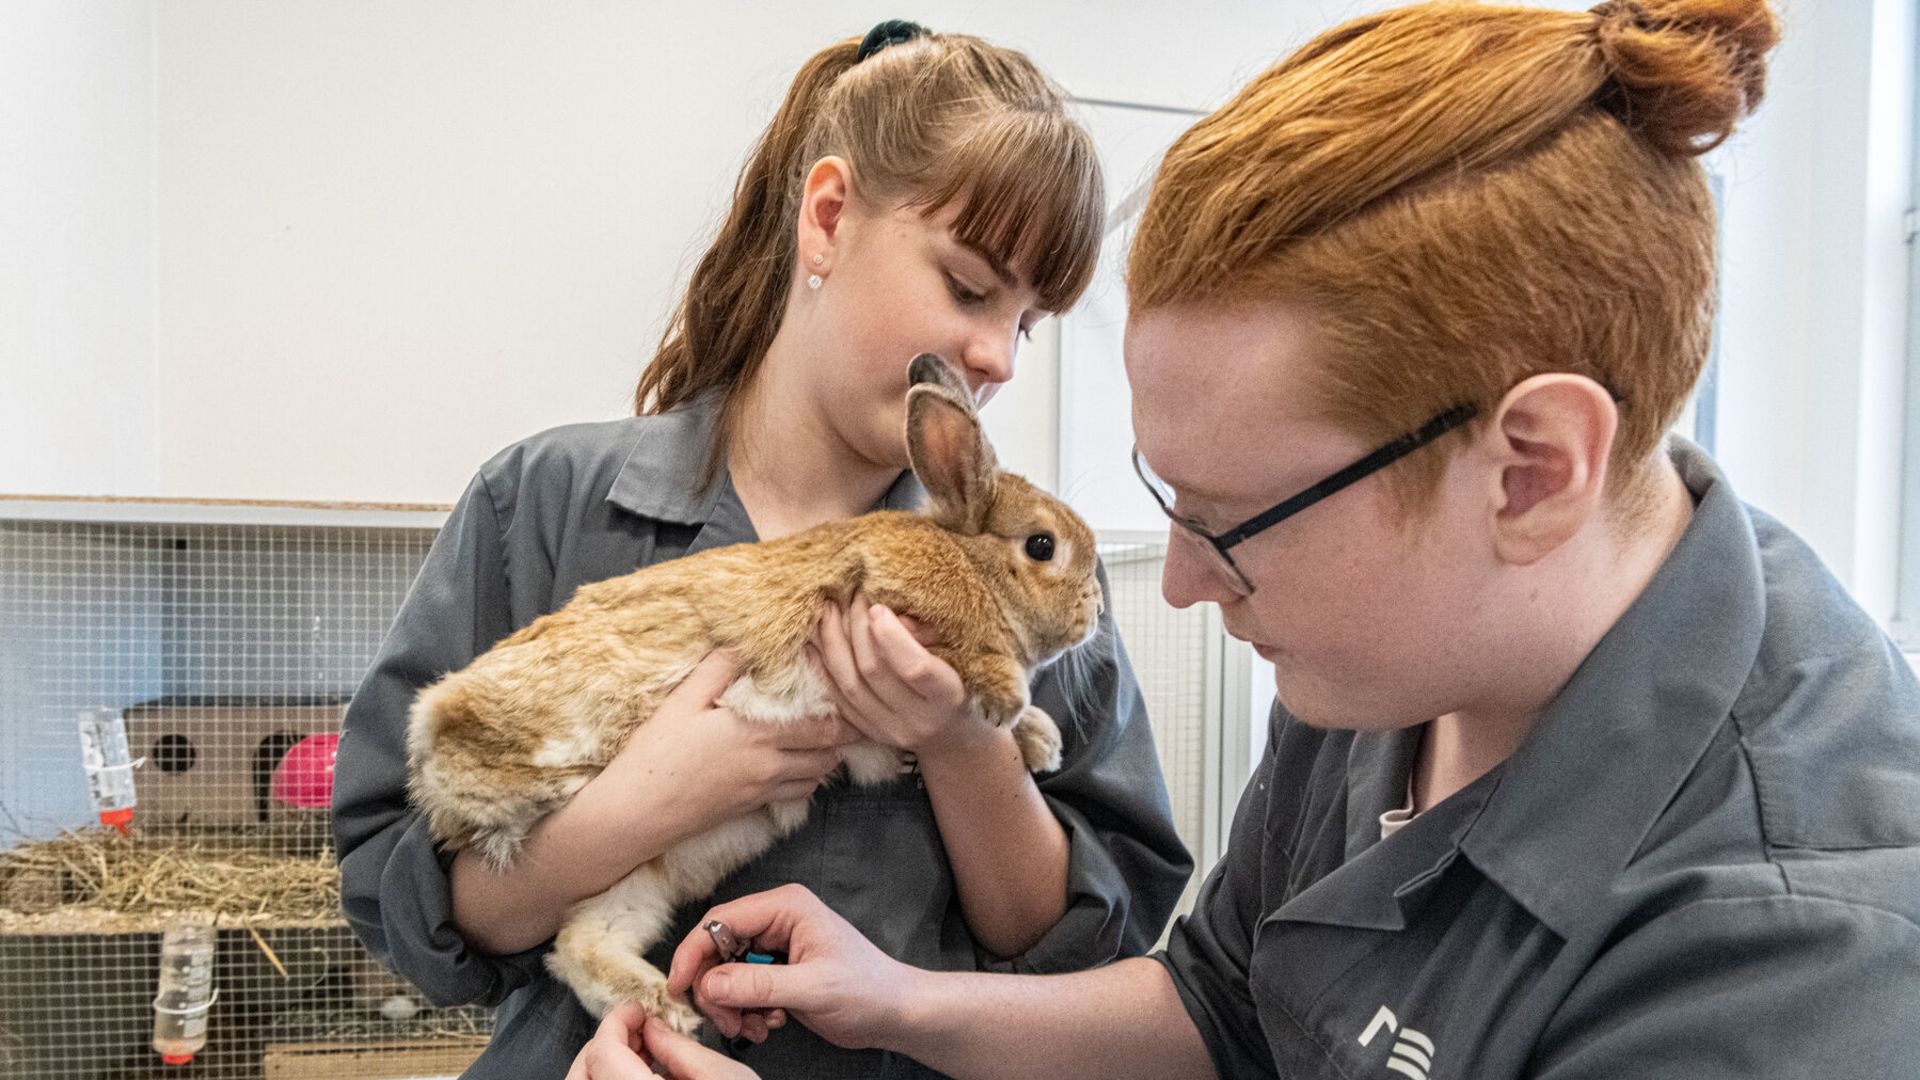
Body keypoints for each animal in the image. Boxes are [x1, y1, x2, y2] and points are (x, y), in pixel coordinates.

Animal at [405, 351, 1105, 1022]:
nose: (1097, 610)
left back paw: (667, 1010)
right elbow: (969, 645)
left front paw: (1040, 742)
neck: (972, 562)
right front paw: (1009, 697)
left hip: (633, 875)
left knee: (580, 945)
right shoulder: (898, 592)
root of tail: (430, 754)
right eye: (1042, 546)